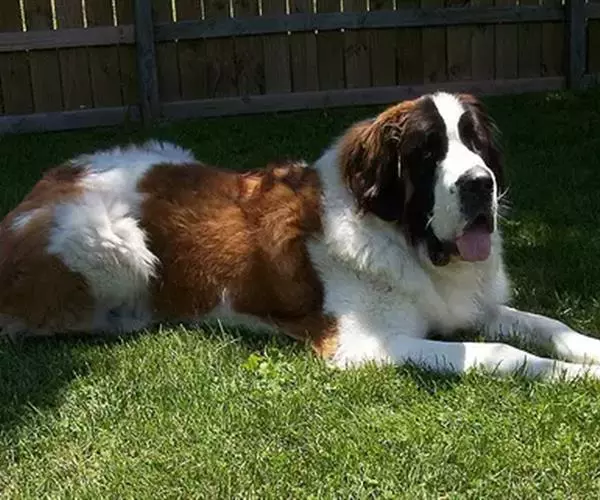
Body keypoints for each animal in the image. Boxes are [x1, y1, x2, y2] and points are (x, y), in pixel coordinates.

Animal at [2, 91, 600, 381]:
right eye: (428, 152)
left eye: (476, 145)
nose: (480, 184)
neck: (404, 242)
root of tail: (42, 186)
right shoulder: (363, 345)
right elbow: (502, 352)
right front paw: (573, 377)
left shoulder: (469, 304)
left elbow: (547, 325)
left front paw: (587, 352)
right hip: (113, 244)